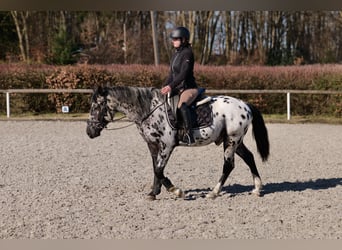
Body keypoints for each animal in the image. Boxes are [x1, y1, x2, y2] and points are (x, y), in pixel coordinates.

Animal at [85, 86, 270, 201]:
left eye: (96, 106)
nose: (89, 132)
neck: (149, 110)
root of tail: (245, 105)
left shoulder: (167, 145)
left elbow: (159, 169)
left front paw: (176, 191)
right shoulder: (153, 145)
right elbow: (156, 168)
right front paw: (153, 193)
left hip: (231, 140)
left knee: (229, 165)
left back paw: (214, 193)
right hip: (234, 141)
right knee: (249, 157)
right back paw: (256, 189)